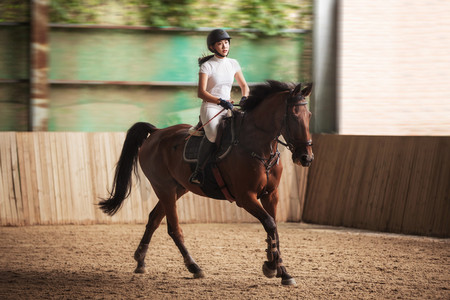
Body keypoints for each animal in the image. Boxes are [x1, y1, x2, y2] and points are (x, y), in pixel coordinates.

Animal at [99, 80, 312, 286]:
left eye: (309, 115)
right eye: (294, 116)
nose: (306, 158)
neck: (259, 147)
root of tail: (157, 132)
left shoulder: (271, 194)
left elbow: (274, 229)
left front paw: (280, 270)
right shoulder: (246, 197)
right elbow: (270, 224)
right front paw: (272, 267)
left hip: (177, 188)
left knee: (154, 219)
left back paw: (141, 260)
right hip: (164, 188)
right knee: (173, 228)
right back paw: (193, 266)